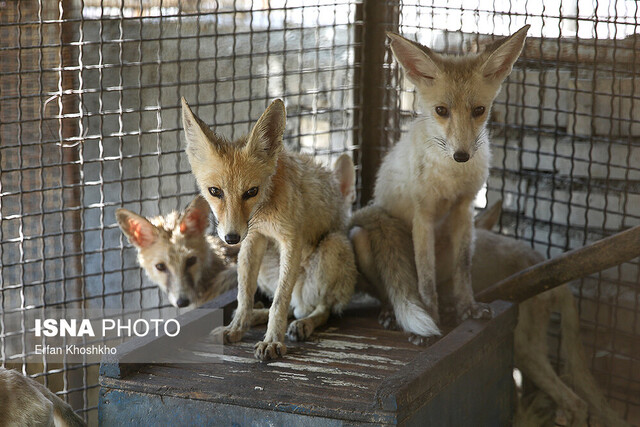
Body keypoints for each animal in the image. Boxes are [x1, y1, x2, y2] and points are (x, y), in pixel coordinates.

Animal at [182, 98, 358, 362]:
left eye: (251, 192)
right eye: (215, 191)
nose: (231, 237)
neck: (265, 213)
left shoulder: (291, 240)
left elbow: (279, 303)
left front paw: (273, 340)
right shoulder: (253, 239)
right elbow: (245, 296)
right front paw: (237, 327)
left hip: (333, 246)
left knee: (320, 308)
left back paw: (304, 324)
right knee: (292, 307)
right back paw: (257, 317)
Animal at [350, 25, 528, 342]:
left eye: (479, 110)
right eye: (442, 111)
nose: (461, 155)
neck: (450, 180)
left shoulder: (464, 209)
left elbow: (463, 270)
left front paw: (467, 308)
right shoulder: (423, 216)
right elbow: (425, 278)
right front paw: (429, 319)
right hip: (361, 238)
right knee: (392, 291)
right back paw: (392, 314)